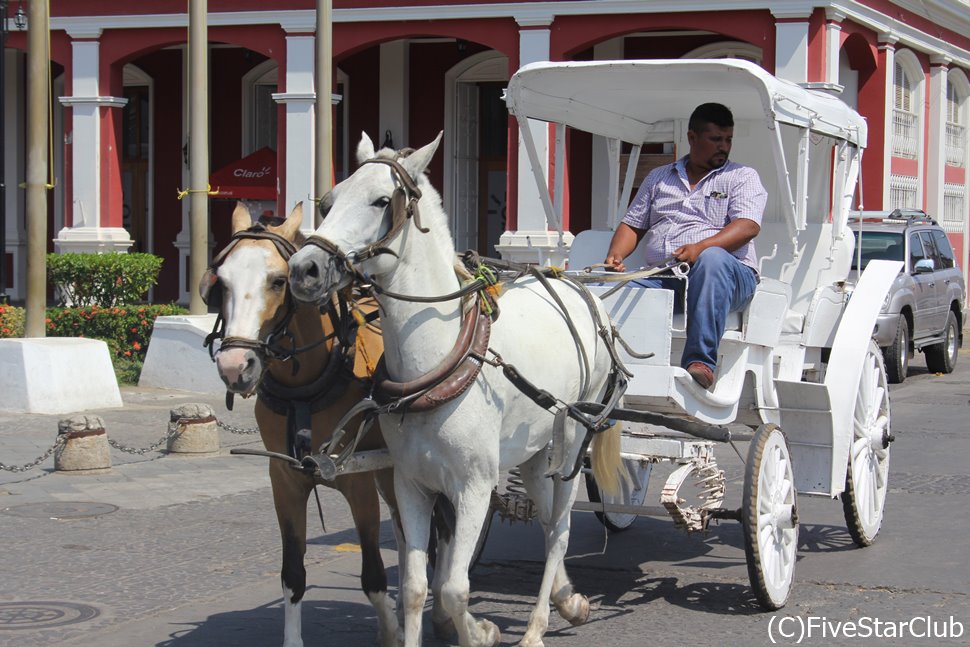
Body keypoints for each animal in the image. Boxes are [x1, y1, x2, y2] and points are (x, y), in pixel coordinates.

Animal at [202, 202, 398, 647]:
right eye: (221, 283)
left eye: (278, 281)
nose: (234, 367)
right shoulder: (286, 479)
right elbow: (293, 574)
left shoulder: (358, 479)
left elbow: (374, 574)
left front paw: (396, 631)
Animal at [288, 133, 620, 647]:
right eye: (328, 201)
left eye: (382, 201)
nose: (304, 268)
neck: (440, 358)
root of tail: (583, 292)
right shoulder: (410, 483)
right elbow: (415, 587)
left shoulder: (474, 487)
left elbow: (454, 588)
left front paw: (480, 632)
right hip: (534, 449)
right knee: (548, 522)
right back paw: (568, 600)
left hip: (571, 440)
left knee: (560, 529)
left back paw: (537, 626)